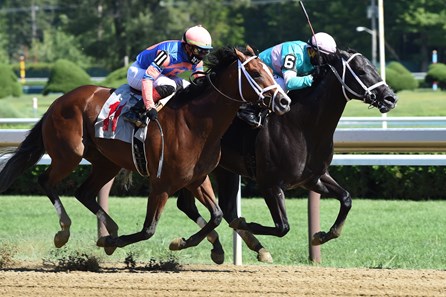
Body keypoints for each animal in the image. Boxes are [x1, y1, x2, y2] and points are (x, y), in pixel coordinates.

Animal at [0, 44, 290, 260]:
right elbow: (148, 229)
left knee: (83, 193)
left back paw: (109, 227)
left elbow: (217, 216)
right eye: (256, 72)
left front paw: (190, 244)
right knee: (45, 181)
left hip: (106, 162)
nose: (284, 101)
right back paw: (65, 231)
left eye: (269, 70)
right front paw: (112, 241)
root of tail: (58, 102)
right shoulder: (161, 183)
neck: (195, 123)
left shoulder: (197, 178)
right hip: (68, 154)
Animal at [174, 48, 398, 262]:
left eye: (374, 67)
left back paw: (243, 248)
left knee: (213, 207)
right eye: (360, 71)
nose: (391, 98)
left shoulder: (313, 178)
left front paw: (321, 236)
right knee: (192, 205)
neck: (303, 126)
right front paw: (244, 222)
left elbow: (346, 198)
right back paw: (191, 242)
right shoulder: (269, 184)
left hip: (224, 170)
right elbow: (282, 227)